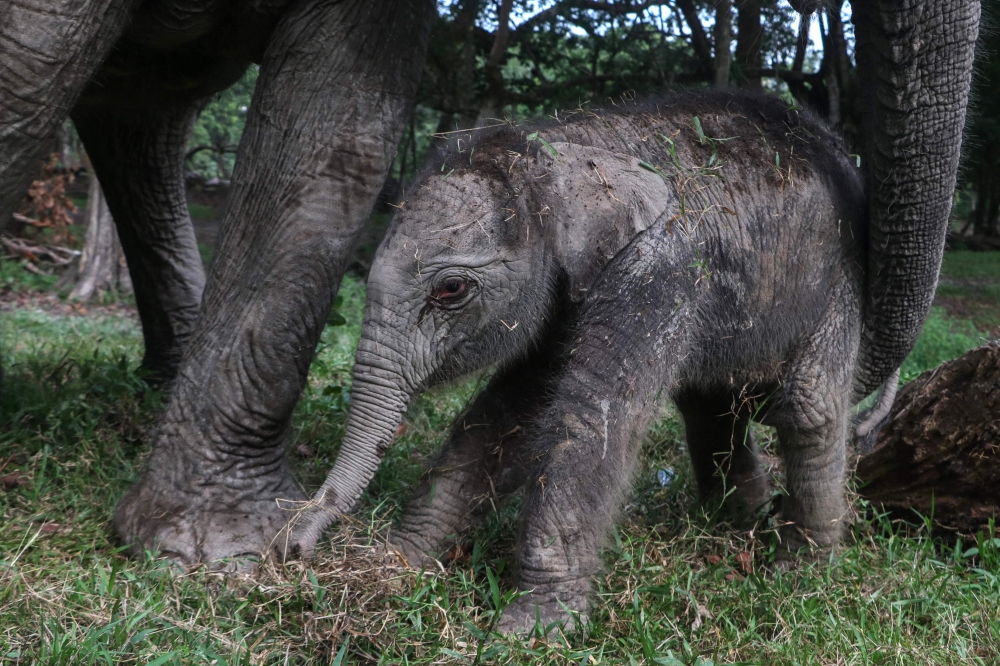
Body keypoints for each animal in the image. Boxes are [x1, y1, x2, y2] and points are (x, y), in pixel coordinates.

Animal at [1, 0, 436, 561]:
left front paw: (227, 548)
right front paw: (228, 549)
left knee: (141, 115)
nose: (299, 549)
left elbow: (340, 137)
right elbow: (29, 61)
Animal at [285, 0, 982, 631]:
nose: (294, 546)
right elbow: (510, 413)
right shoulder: (569, 291)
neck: (572, 148)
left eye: (451, 290)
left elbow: (591, 417)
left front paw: (528, 631)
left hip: (834, 285)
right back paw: (741, 522)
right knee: (712, 405)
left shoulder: (659, 267)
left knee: (809, 405)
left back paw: (799, 574)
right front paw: (399, 566)